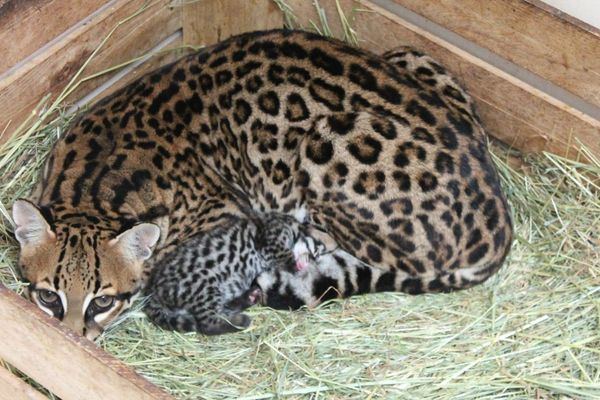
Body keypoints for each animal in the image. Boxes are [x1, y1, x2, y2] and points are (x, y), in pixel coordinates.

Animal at [144, 212, 326, 334]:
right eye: (316, 252)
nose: (309, 264)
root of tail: (154, 291)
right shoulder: (271, 241)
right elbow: (285, 255)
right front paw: (295, 266)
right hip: (202, 285)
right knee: (207, 324)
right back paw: (240, 321)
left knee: (222, 309)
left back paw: (249, 298)